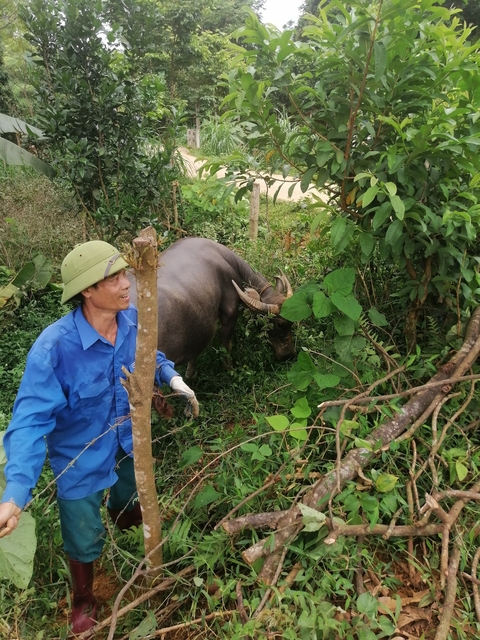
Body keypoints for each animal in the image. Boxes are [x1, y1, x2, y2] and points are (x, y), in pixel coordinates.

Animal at [128, 237, 295, 377]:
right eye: (280, 324)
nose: (288, 354)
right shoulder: (230, 311)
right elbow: (226, 344)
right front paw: (230, 370)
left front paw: (189, 374)